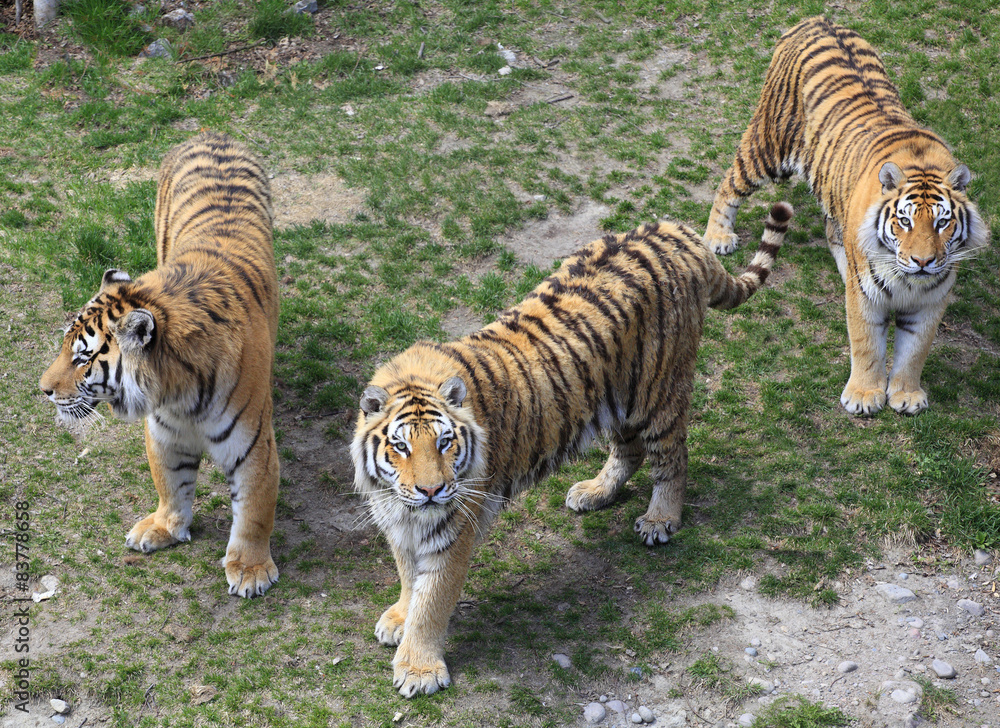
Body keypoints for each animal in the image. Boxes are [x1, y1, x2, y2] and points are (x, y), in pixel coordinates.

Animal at [39, 132, 281, 598]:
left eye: (82, 357)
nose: (42, 389)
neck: (179, 391)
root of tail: (212, 131)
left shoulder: (253, 445)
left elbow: (254, 511)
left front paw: (250, 568)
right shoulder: (164, 431)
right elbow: (170, 483)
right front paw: (165, 528)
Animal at [352, 202, 793, 696]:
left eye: (445, 443)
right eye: (400, 447)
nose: (430, 491)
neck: (405, 505)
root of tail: (677, 231)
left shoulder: (454, 527)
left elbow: (432, 598)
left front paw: (419, 669)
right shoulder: (400, 518)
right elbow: (409, 577)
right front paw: (399, 618)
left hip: (658, 392)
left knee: (672, 458)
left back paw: (660, 520)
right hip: (616, 397)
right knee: (631, 451)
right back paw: (594, 493)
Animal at [702, 16, 989, 416]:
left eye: (942, 223)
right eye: (905, 221)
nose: (922, 262)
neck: (908, 281)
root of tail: (817, 19)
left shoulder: (931, 301)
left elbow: (915, 351)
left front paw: (906, 395)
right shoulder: (867, 297)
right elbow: (866, 343)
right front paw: (864, 397)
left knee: (830, 228)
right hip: (770, 146)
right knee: (729, 182)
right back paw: (718, 237)